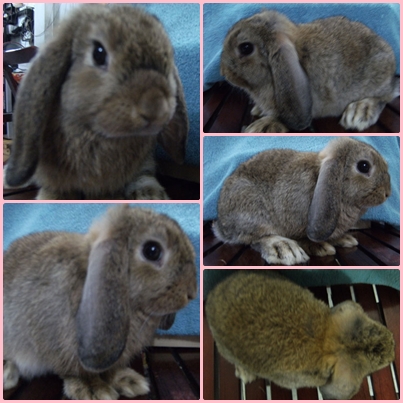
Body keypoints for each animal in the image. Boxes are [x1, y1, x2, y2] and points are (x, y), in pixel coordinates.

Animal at [3, 204, 197, 399]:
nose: (191, 293)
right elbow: (76, 371)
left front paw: (128, 381)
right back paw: (7, 375)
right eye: (152, 250)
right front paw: (94, 390)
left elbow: (111, 370)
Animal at [4, 4, 189, 200]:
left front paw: (151, 195)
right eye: (98, 54)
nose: (156, 107)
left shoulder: (143, 164)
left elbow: (143, 177)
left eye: (169, 57)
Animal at [213, 137, 391, 265]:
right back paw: (285, 249)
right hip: (252, 212)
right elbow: (303, 238)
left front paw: (344, 239)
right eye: (363, 166)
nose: (387, 193)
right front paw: (320, 247)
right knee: (256, 238)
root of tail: (222, 225)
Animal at [220, 9, 399, 133]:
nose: (224, 73)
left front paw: (262, 126)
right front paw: (258, 110)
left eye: (245, 48)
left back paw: (359, 111)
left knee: (385, 96)